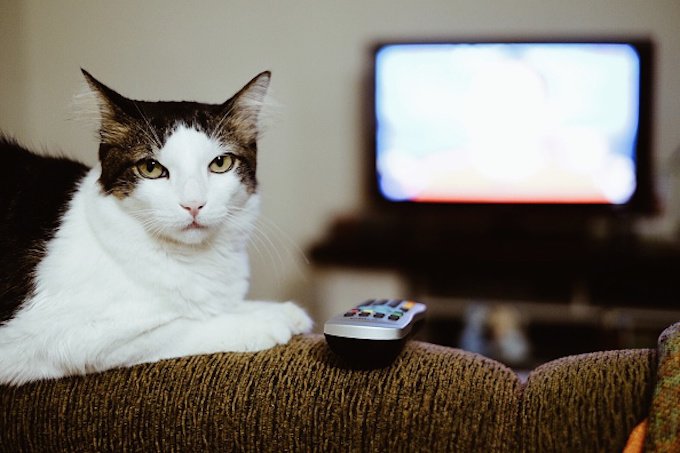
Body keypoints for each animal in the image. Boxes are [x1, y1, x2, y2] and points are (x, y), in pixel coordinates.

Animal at [0, 69, 314, 384]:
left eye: (220, 163)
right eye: (150, 168)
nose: (193, 204)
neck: (194, 259)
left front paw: (281, 311)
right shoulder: (63, 338)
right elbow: (183, 324)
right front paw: (262, 322)